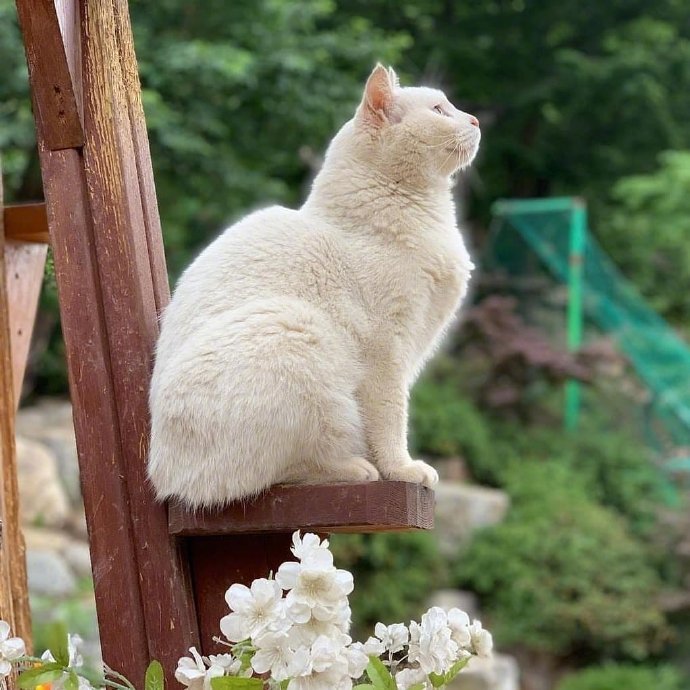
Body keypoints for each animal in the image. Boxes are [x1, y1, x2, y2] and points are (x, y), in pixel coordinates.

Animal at [148, 64, 478, 506]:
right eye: (440, 110)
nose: (475, 120)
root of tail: (161, 479)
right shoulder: (388, 352)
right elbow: (391, 417)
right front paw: (402, 470)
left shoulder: (410, 352)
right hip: (296, 328)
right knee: (274, 474)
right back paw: (356, 469)